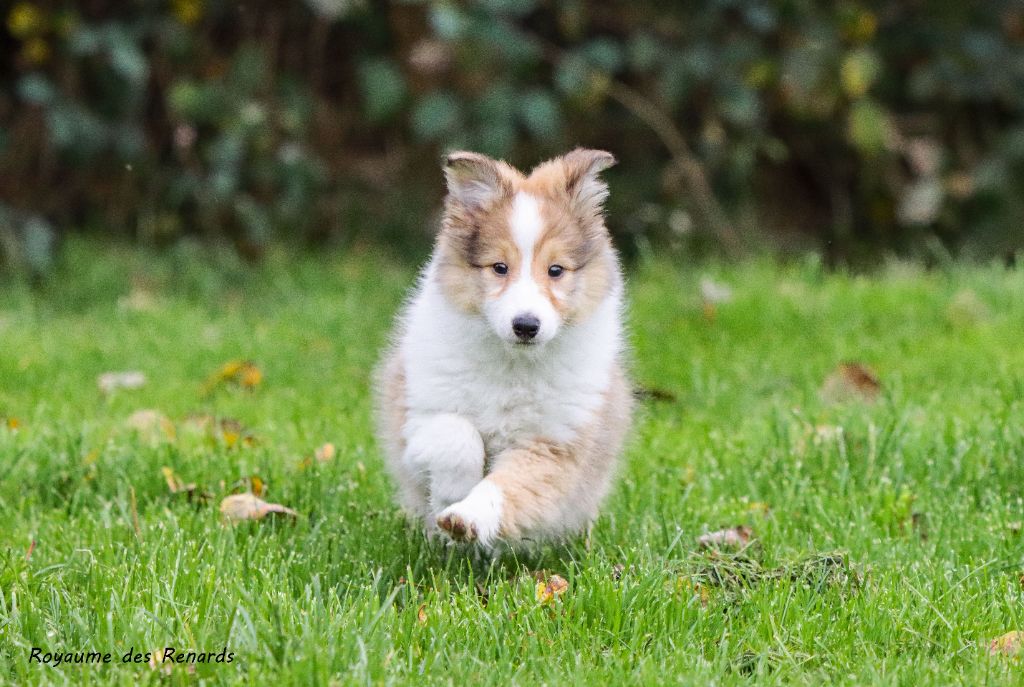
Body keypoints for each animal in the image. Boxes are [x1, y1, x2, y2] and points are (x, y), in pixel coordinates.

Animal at [376, 147, 630, 552]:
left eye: (555, 270)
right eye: (499, 267)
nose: (526, 325)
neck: (513, 364)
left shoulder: (552, 445)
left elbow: (507, 486)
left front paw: (465, 517)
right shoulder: (419, 416)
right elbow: (458, 436)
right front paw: (450, 496)